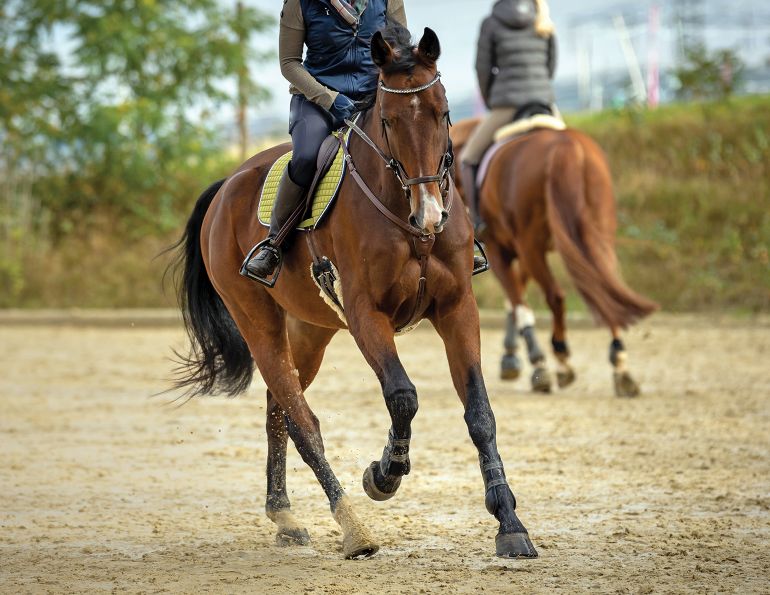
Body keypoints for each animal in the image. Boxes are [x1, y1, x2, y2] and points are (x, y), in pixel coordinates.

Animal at [170, 25, 537, 559]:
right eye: (387, 120)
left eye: (443, 111)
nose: (430, 213)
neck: (407, 221)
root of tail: (227, 186)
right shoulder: (367, 315)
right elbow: (403, 396)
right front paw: (383, 474)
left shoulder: (456, 310)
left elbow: (480, 413)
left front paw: (509, 523)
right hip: (258, 322)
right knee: (303, 422)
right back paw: (352, 527)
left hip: (309, 330)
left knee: (278, 409)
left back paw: (284, 515)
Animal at [451, 118, 658, 397]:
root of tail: (567, 147)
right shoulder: (521, 251)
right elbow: (516, 298)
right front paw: (510, 357)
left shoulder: (500, 249)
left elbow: (517, 300)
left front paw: (535, 364)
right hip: (595, 233)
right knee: (604, 291)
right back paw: (620, 367)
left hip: (531, 244)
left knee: (556, 296)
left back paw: (560, 362)